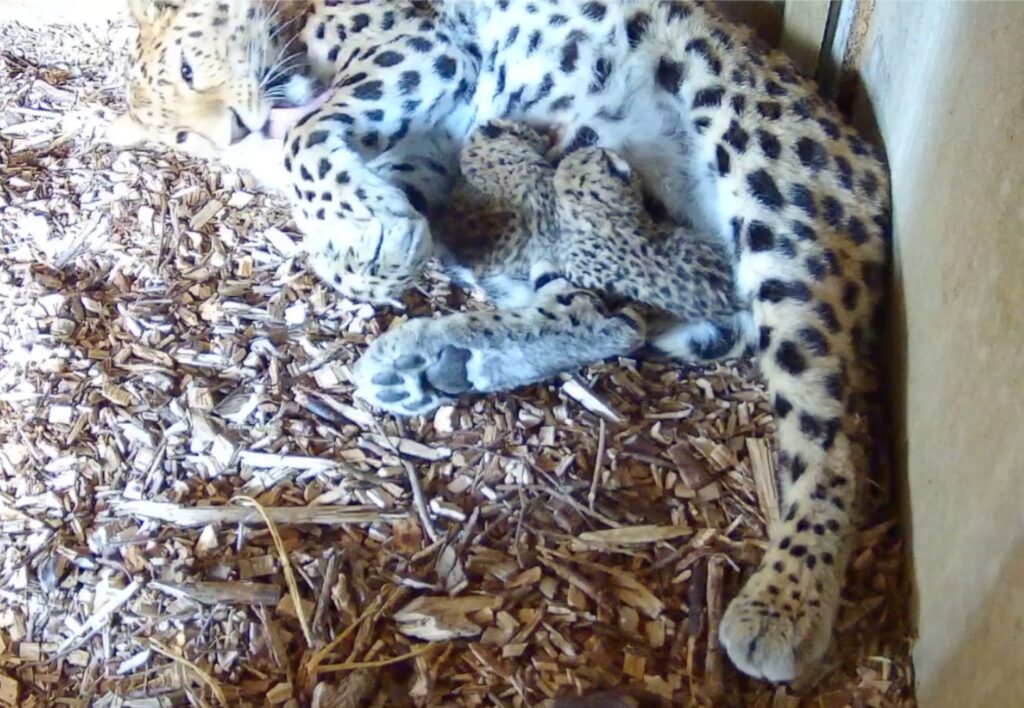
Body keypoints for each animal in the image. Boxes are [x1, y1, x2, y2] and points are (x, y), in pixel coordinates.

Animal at [112, 0, 892, 685]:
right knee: (603, 315)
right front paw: (374, 251)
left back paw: (786, 602)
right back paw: (433, 361)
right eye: (179, 139)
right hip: (573, 224)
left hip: (774, 195)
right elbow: (338, 233)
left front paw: (373, 235)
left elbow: (312, 143)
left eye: (188, 68)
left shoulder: (420, 49)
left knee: (835, 433)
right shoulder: (424, 166)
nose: (231, 134)